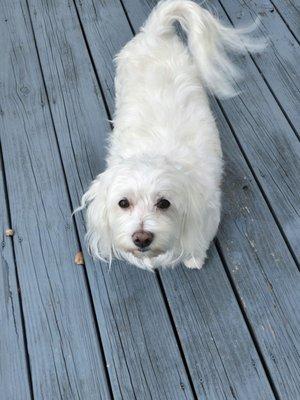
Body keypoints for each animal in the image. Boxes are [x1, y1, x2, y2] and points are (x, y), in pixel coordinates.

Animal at [78, 0, 264, 272]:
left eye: (164, 203)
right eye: (123, 203)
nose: (141, 237)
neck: (154, 151)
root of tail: (156, 32)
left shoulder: (206, 212)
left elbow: (198, 240)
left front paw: (194, 258)